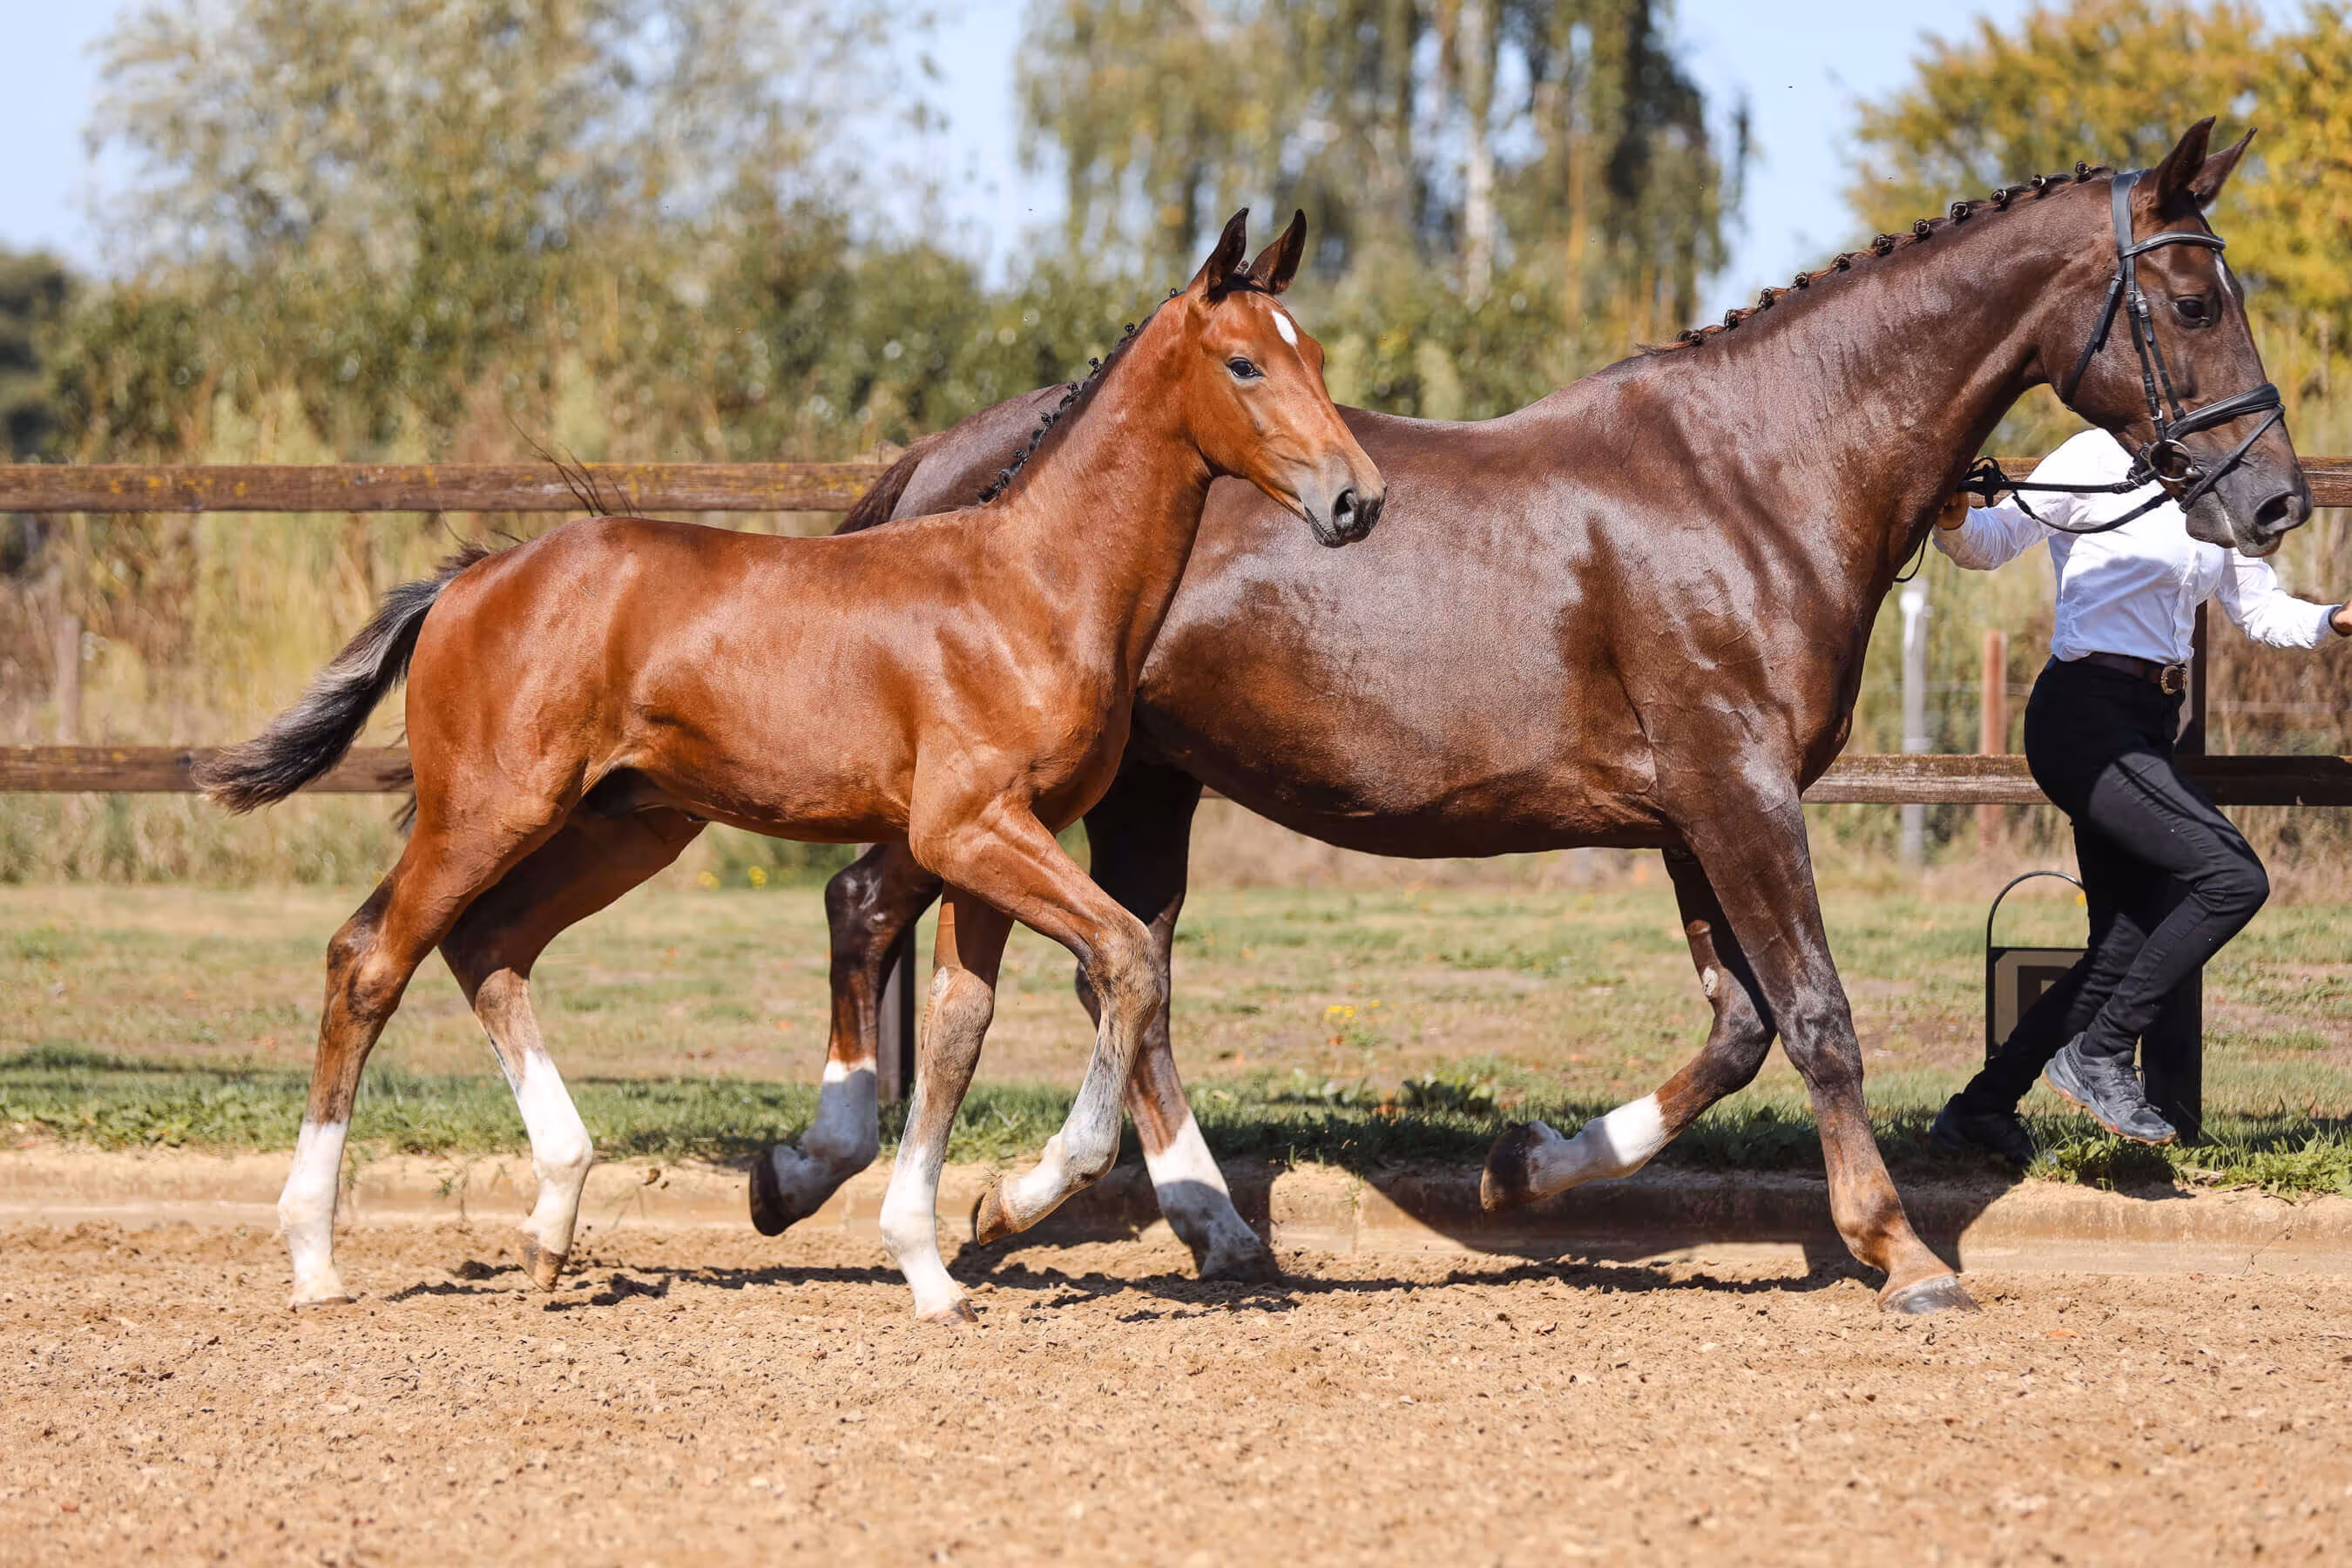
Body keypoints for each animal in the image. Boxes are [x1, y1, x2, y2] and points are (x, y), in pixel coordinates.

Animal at [199, 210, 1385, 1322]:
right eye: (1245, 364)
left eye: (1319, 355)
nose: (1357, 500)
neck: (1034, 588)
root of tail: (472, 577)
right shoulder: (972, 830)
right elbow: (1128, 961)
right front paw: (1007, 1203)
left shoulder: (992, 844)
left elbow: (958, 1027)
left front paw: (932, 1258)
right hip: (488, 811)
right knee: (369, 959)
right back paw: (316, 1257)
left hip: (622, 828)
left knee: (489, 946)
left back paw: (551, 1221)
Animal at [755, 121, 2307, 1315]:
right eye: (2191, 303)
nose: (2274, 499)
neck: (1760, 473)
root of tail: (955, 461)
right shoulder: (1739, 791)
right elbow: (1816, 1015)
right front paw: (1902, 1251)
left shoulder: (1695, 813)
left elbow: (1737, 1033)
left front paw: (1527, 1169)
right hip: (1010, 792)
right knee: (878, 907)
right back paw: (826, 1171)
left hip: (1142, 785)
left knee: (1116, 975)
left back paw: (1193, 1225)